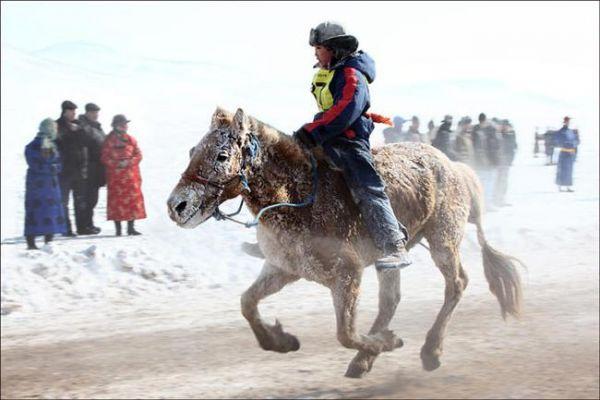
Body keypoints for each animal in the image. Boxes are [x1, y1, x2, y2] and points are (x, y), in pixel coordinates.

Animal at [166, 106, 524, 378]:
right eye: (192, 151)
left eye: (222, 154)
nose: (176, 206)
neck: (300, 197)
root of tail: (455, 166)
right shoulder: (282, 269)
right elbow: (247, 303)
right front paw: (282, 341)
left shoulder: (347, 274)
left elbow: (345, 333)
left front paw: (389, 342)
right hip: (390, 259)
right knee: (391, 300)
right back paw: (366, 361)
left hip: (443, 242)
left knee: (457, 284)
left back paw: (429, 352)